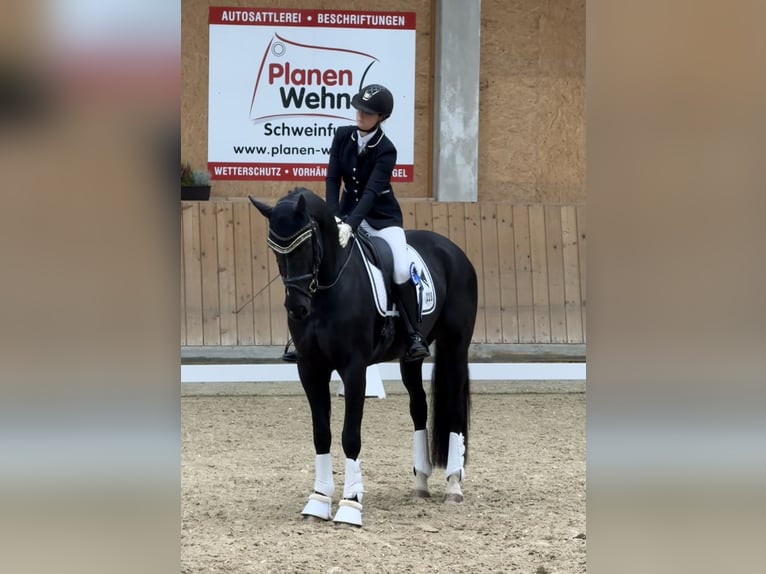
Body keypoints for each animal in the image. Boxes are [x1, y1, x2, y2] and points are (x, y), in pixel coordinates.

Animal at [249, 187, 478, 527]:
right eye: (275, 248)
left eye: (306, 243)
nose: (297, 308)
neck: (327, 289)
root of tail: (454, 250)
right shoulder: (310, 368)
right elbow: (322, 434)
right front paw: (317, 502)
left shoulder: (354, 369)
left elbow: (350, 436)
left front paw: (350, 505)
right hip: (412, 357)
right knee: (419, 407)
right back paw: (420, 483)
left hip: (455, 345)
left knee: (454, 406)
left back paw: (453, 486)